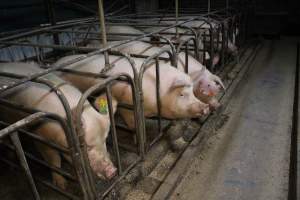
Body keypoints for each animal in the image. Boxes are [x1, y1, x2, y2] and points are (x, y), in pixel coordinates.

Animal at [53, 54, 209, 128]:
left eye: (193, 92)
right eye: (182, 94)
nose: (206, 107)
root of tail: (56, 62)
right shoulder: (127, 107)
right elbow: (133, 125)